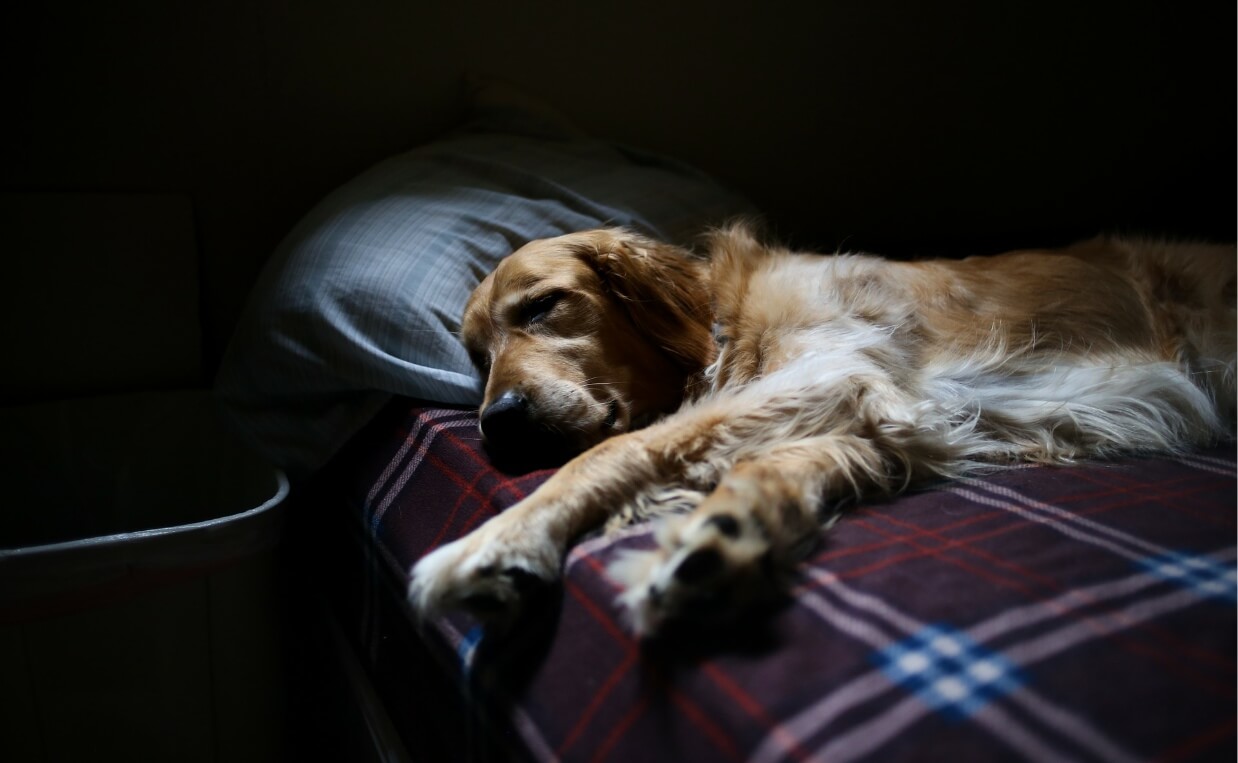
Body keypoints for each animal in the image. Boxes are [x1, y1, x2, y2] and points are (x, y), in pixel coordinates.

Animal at [403, 222, 1228, 634]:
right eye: (476, 356)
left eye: (543, 306)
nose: (498, 424)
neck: (726, 325)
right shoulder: (882, 419)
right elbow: (769, 466)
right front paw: (725, 534)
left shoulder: (838, 369)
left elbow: (618, 448)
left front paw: (497, 542)